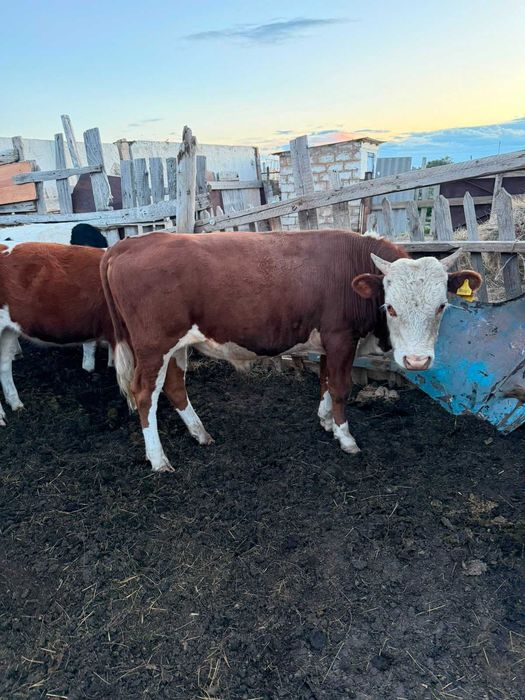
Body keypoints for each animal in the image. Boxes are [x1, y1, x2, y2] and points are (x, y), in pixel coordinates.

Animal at [101, 229, 482, 472]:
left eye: (442, 306)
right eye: (390, 307)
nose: (417, 361)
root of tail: (129, 243)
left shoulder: (329, 343)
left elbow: (326, 382)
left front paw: (326, 422)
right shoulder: (341, 337)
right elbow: (340, 388)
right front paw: (346, 438)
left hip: (177, 346)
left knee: (175, 385)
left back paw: (201, 434)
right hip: (153, 346)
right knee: (145, 394)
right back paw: (158, 460)